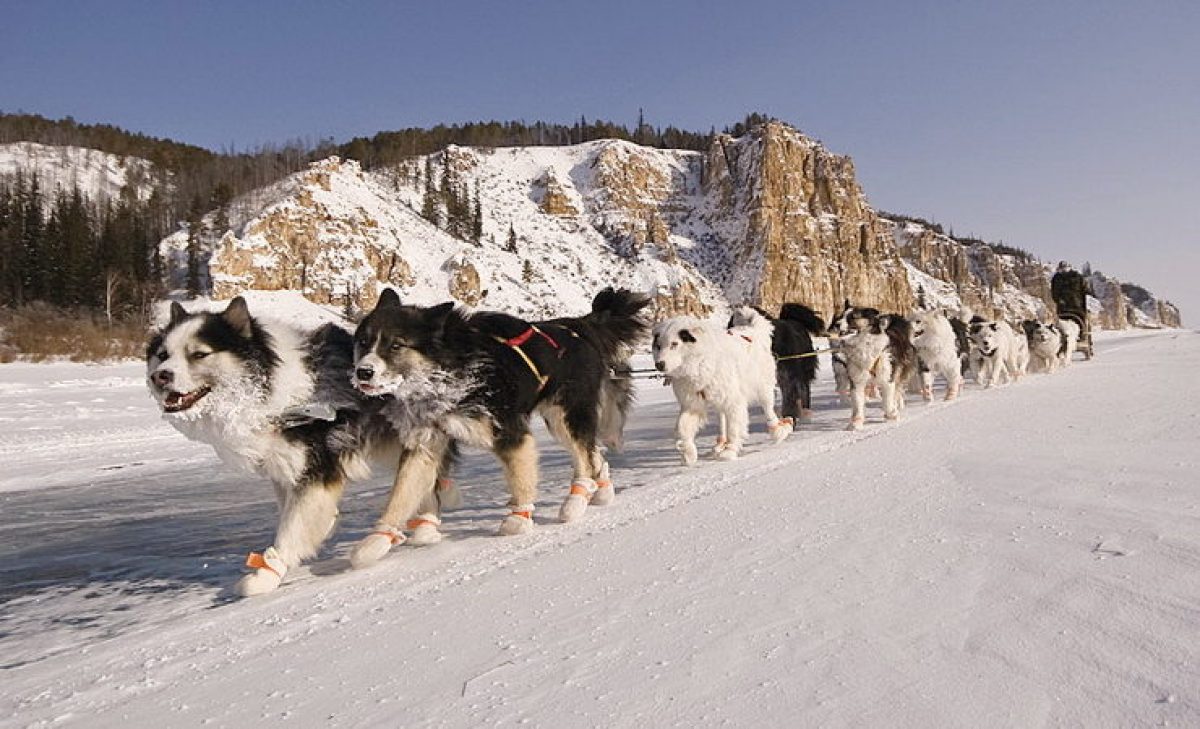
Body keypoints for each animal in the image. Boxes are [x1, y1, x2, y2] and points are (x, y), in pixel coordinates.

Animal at [144, 298, 453, 594]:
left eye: (199, 354)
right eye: (162, 355)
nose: (159, 376)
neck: (274, 392)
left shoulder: (317, 471)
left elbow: (291, 527)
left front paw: (267, 574)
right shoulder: (284, 467)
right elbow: (292, 511)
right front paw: (325, 524)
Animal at [348, 286, 648, 563]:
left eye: (396, 345)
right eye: (363, 342)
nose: (363, 372)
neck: (450, 369)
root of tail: (577, 325)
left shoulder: (510, 433)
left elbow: (520, 479)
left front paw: (519, 518)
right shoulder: (425, 444)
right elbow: (401, 494)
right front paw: (377, 540)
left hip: (566, 416)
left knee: (584, 457)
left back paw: (576, 500)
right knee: (593, 453)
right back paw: (601, 488)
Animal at [652, 309, 792, 465]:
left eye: (674, 344)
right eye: (658, 346)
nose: (659, 364)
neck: (700, 362)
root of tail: (752, 330)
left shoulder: (734, 401)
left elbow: (734, 428)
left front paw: (730, 451)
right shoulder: (692, 404)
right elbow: (682, 427)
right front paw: (688, 453)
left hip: (763, 388)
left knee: (768, 410)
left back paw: (778, 431)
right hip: (720, 399)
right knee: (722, 419)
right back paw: (719, 444)